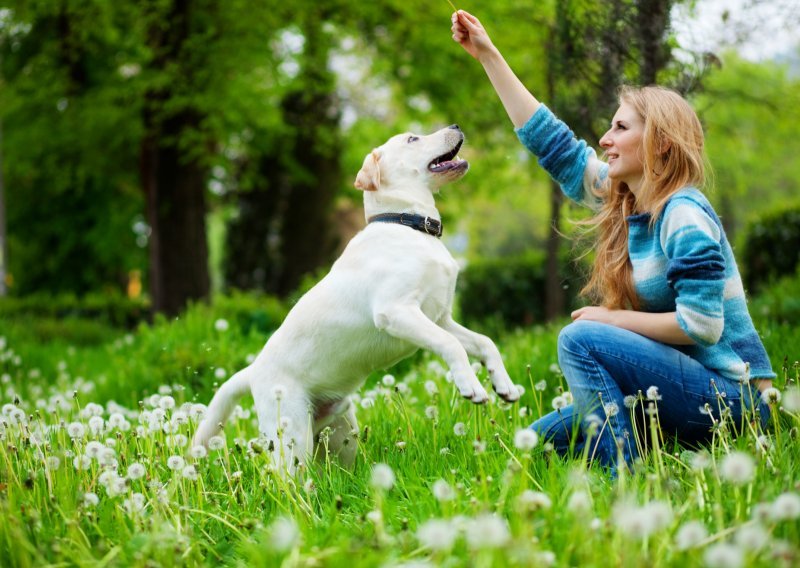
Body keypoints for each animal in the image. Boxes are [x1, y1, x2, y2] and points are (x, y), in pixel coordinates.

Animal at [194, 125, 520, 474]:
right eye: (412, 139)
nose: (456, 127)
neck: (408, 225)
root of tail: (253, 371)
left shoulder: (439, 318)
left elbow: (484, 342)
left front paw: (503, 384)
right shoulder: (397, 312)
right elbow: (451, 345)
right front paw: (470, 385)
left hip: (341, 435)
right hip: (291, 438)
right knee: (283, 479)